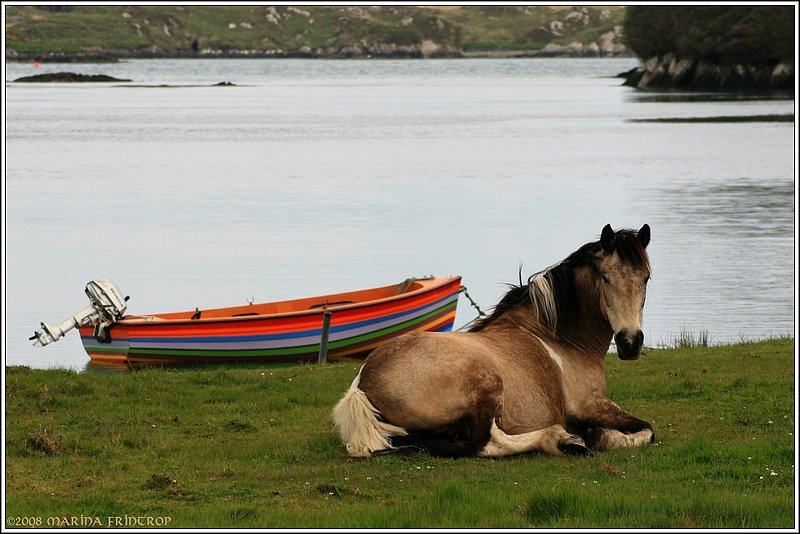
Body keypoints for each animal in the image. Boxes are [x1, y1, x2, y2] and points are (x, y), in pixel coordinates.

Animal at [334, 224, 652, 458]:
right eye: (606, 278)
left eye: (646, 278)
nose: (630, 341)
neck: (557, 337)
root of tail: (363, 383)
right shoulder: (592, 405)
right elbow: (648, 430)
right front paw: (602, 436)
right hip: (486, 386)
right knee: (487, 443)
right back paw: (562, 439)